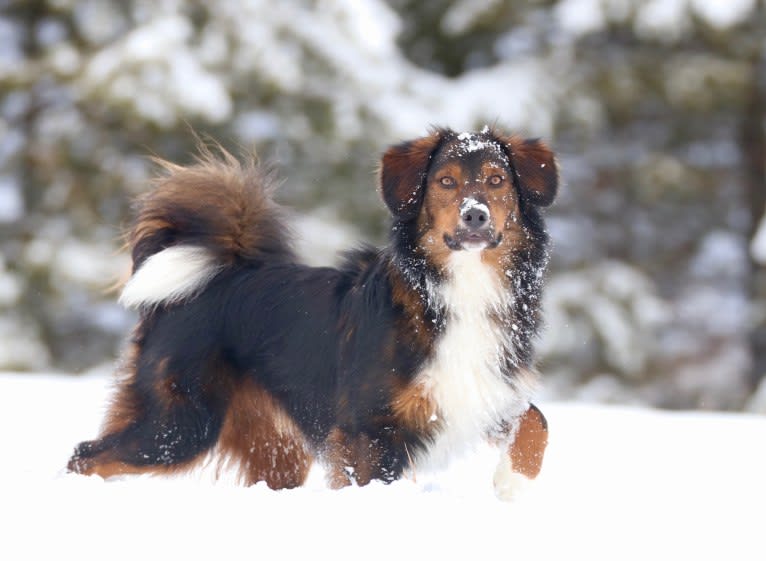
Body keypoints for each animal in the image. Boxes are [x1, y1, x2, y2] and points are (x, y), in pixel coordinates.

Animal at [67, 127, 560, 498]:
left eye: (497, 181)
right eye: (445, 182)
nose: (475, 216)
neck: (455, 290)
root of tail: (215, 275)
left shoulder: (482, 392)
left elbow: (537, 420)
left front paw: (513, 483)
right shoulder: (368, 430)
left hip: (275, 451)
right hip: (180, 425)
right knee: (85, 455)